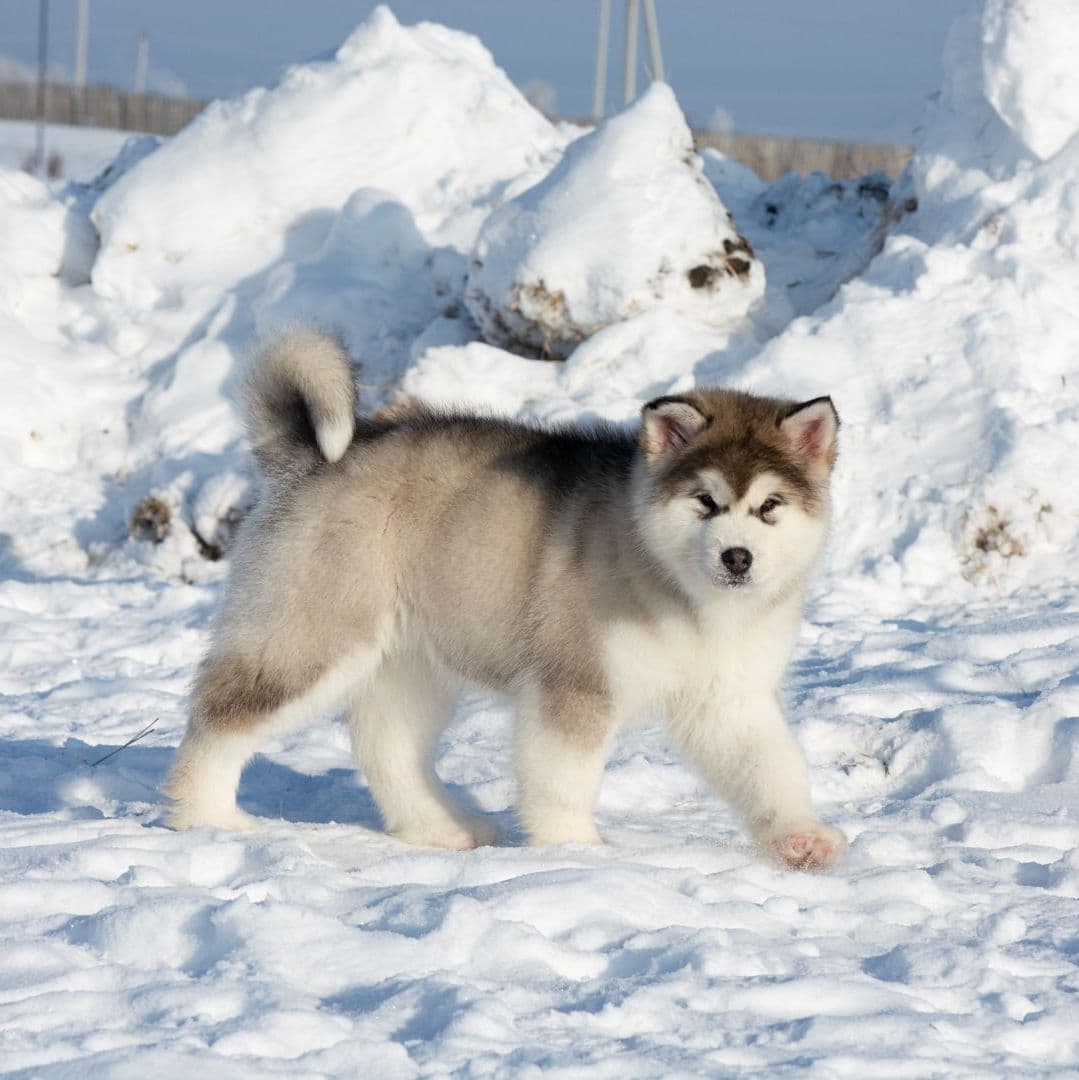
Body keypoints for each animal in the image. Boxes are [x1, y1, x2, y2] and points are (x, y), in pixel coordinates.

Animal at [164, 326, 846, 868]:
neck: (685, 595)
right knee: (222, 718)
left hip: (410, 659)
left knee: (387, 744)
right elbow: (564, 779)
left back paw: (440, 828)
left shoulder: (728, 696)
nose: (738, 558)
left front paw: (800, 838)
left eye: (770, 507)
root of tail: (313, 458)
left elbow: (770, 766)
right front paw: (574, 851)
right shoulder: (574, 684)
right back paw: (206, 818)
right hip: (314, 637)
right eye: (705, 501)